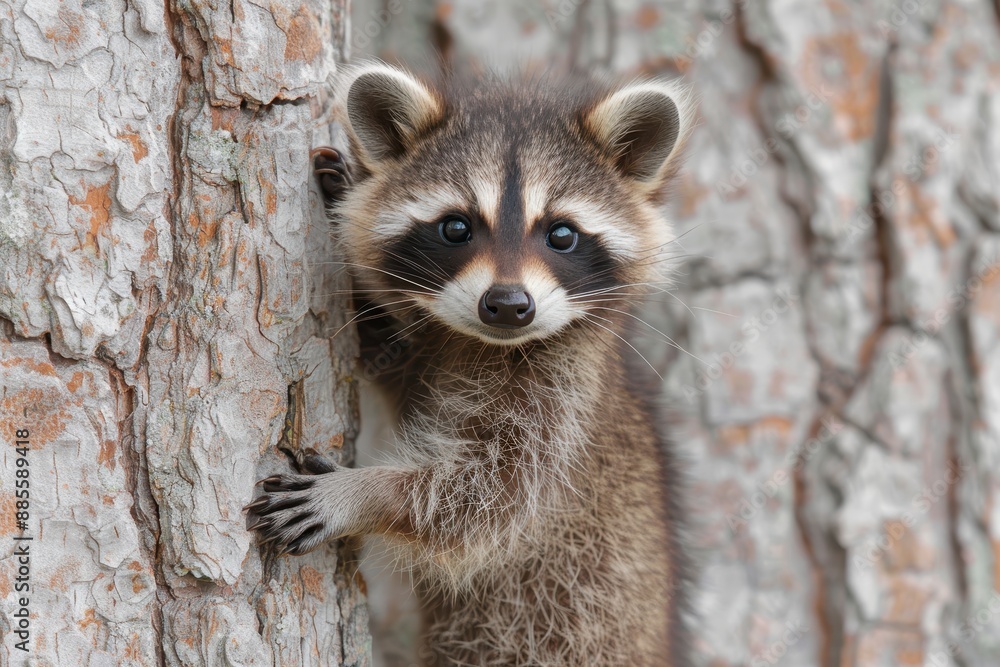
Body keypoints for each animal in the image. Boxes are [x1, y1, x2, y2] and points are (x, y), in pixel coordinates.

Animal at [246, 62, 694, 666]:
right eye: (456, 228)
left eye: (561, 234)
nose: (506, 304)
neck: (487, 344)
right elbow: (392, 362)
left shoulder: (565, 405)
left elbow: (484, 500)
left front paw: (363, 495)